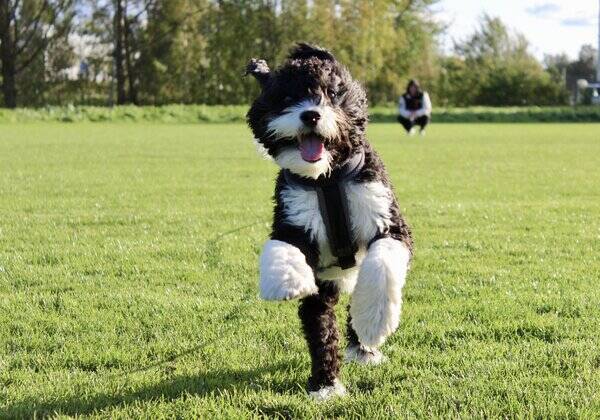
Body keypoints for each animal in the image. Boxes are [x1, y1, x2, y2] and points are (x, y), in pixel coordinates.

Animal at [245, 43, 412, 400]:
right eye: (288, 96)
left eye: (333, 94)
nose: (310, 114)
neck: (327, 178)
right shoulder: (294, 218)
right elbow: (282, 247)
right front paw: (286, 279)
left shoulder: (390, 224)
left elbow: (383, 265)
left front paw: (374, 320)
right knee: (321, 325)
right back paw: (325, 383)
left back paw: (363, 345)